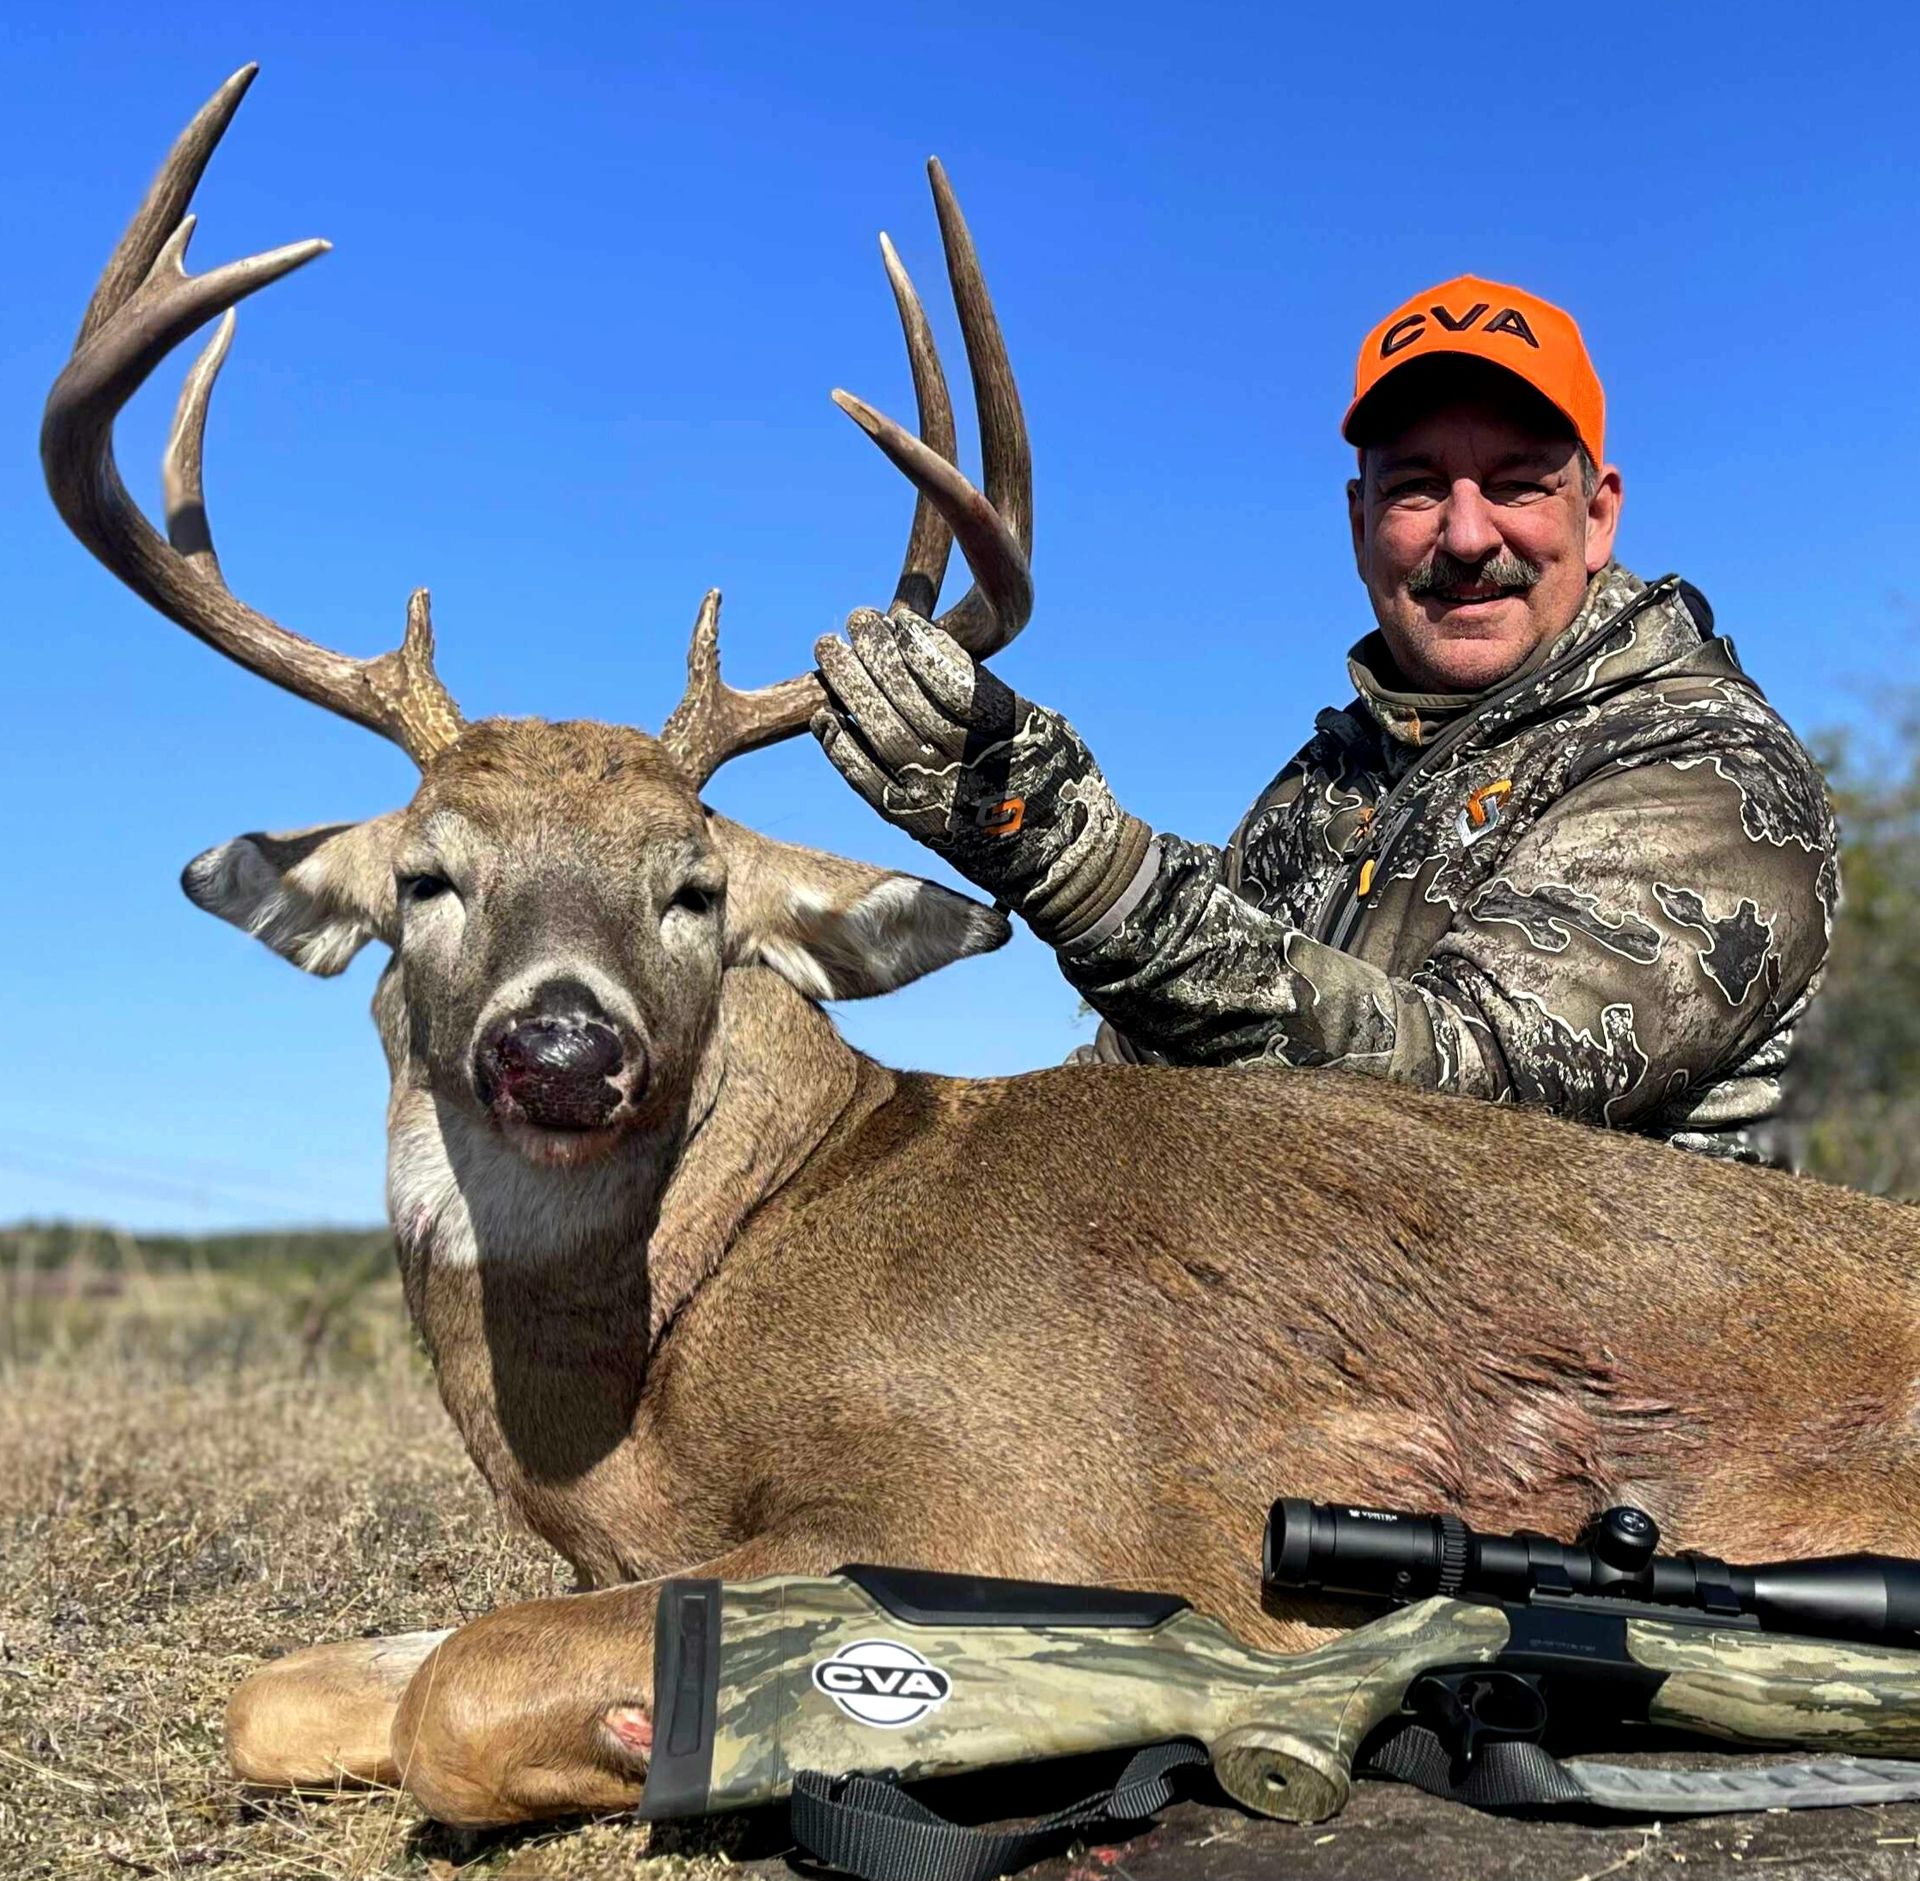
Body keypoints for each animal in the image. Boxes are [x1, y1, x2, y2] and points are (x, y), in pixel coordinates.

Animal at [43, 66, 1920, 1833]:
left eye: (693, 886)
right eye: (431, 875)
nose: (562, 1048)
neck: (670, 1355)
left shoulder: (1021, 1505)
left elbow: (461, 1693)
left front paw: (652, 1732)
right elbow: (281, 1690)